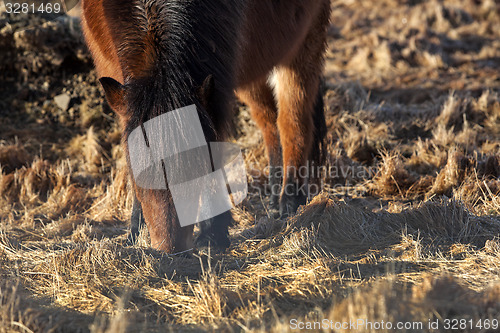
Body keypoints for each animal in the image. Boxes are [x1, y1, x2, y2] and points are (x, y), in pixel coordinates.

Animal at [81, 0, 332, 253]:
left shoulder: (218, 85)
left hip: (302, 46)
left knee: (292, 122)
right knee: (269, 120)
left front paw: (213, 235)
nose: (172, 251)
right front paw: (135, 232)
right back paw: (273, 199)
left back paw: (291, 202)